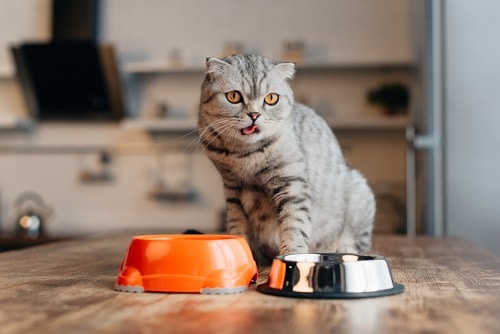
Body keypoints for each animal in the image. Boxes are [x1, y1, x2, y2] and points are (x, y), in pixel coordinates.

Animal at [197, 53, 374, 264]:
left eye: (271, 98)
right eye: (233, 96)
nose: (254, 114)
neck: (245, 155)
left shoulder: (292, 183)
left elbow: (294, 225)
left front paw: (293, 255)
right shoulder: (232, 189)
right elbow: (237, 226)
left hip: (359, 193)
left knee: (355, 243)